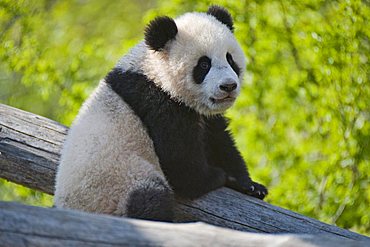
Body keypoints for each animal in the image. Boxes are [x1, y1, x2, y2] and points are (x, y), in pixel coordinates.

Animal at [54, 6, 266, 222]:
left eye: (230, 59)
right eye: (204, 65)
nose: (228, 86)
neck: (154, 70)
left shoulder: (202, 114)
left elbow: (219, 141)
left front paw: (250, 185)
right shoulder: (157, 101)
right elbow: (180, 162)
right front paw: (217, 177)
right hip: (118, 184)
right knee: (149, 202)